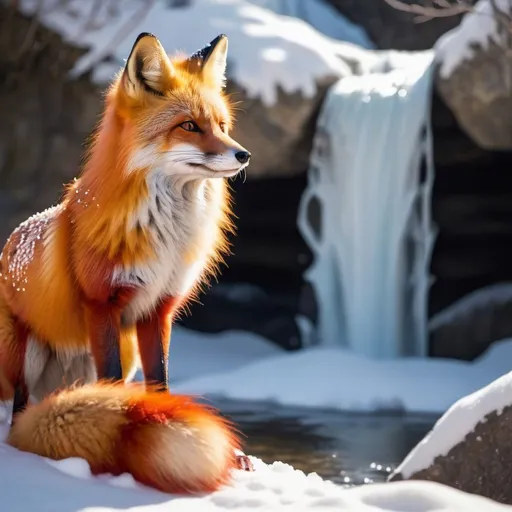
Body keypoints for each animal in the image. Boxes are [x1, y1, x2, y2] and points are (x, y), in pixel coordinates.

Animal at [0, 31, 253, 492]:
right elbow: (113, 383)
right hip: (24, 352)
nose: (243, 155)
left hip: (120, 346)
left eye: (222, 126)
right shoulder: (103, 303)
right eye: (189, 126)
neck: (165, 237)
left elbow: (161, 384)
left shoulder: (158, 310)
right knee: (18, 415)